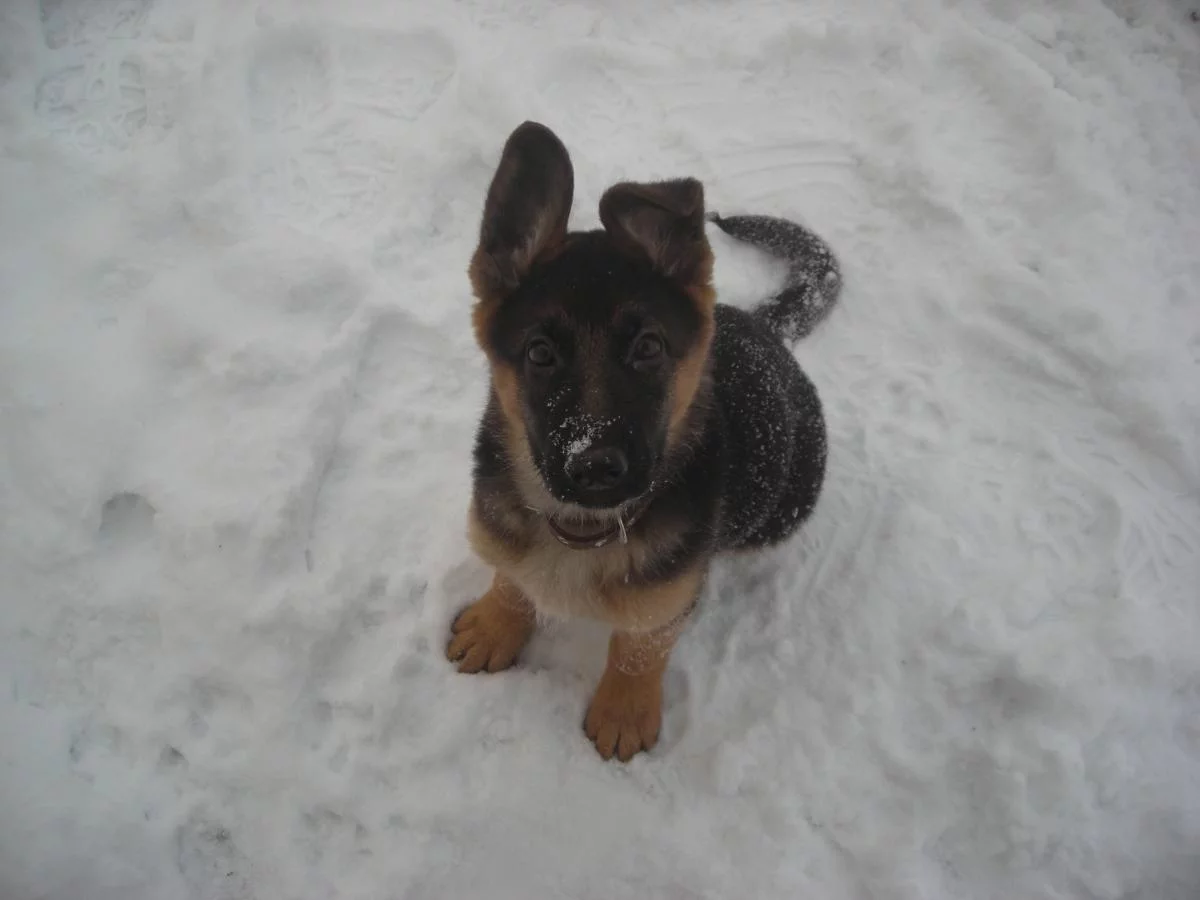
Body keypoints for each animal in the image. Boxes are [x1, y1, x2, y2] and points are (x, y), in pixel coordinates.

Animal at [446, 121, 841, 761]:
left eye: (649, 347)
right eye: (539, 353)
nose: (595, 467)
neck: (581, 529)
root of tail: (764, 326)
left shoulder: (669, 602)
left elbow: (639, 648)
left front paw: (623, 710)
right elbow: (512, 577)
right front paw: (495, 624)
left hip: (790, 501)